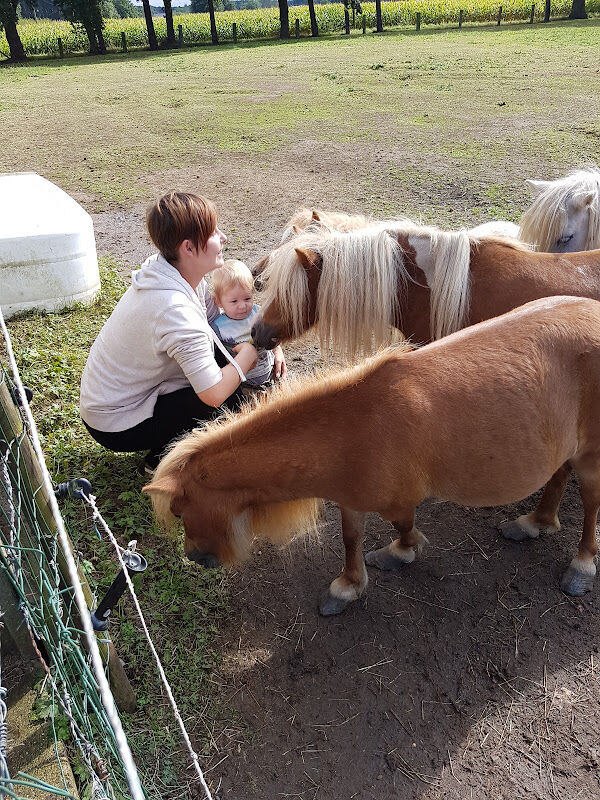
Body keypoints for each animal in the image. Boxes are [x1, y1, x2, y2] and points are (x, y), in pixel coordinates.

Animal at [145, 296, 600, 616]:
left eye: (180, 512)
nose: (195, 557)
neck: (351, 430)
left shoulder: (396, 500)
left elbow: (404, 526)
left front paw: (402, 552)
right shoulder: (350, 498)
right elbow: (351, 539)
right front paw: (347, 587)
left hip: (591, 458)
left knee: (591, 504)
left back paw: (581, 566)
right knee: (558, 476)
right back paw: (535, 523)